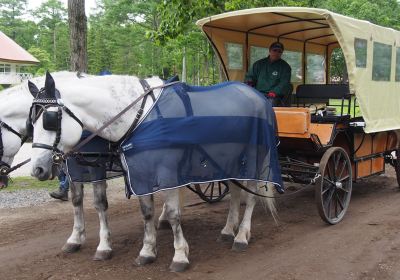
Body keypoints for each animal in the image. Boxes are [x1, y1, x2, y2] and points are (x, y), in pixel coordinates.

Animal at [28, 72, 278, 272]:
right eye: (32, 121)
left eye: (50, 120)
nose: (37, 169)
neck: (140, 118)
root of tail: (260, 97)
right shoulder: (140, 173)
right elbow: (146, 213)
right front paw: (147, 251)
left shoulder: (168, 175)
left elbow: (175, 214)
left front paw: (180, 256)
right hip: (231, 159)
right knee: (235, 193)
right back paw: (227, 230)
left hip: (253, 159)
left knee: (251, 197)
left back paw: (242, 236)